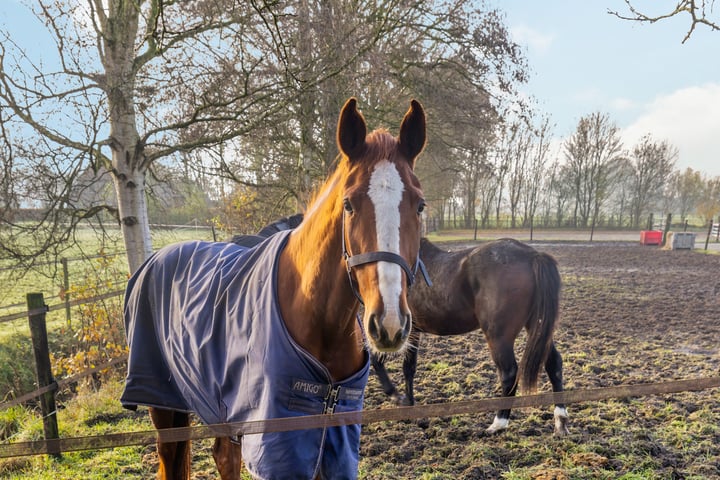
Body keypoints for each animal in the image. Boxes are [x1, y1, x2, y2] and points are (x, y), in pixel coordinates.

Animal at [121, 98, 428, 480]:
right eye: (349, 204)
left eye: (420, 204)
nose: (388, 324)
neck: (316, 320)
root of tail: (155, 259)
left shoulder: (332, 442)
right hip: (162, 404)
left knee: (224, 456)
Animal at [372, 238, 568, 436]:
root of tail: (532, 255)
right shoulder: (410, 331)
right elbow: (408, 367)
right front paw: (409, 404)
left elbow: (381, 362)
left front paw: (398, 397)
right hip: (537, 326)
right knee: (553, 363)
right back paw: (560, 421)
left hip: (498, 336)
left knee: (509, 373)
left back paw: (499, 423)